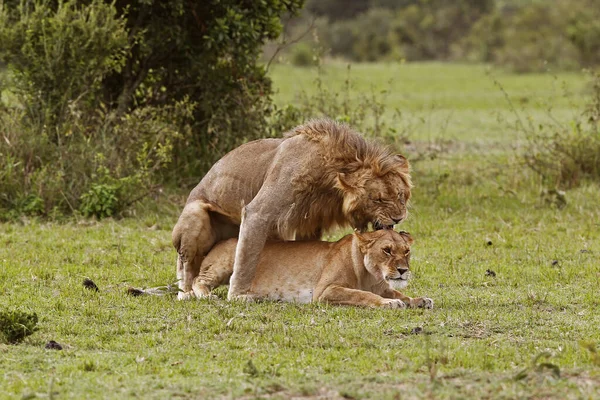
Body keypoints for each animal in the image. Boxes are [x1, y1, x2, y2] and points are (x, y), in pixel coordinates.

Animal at [171, 119, 410, 300]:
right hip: (196, 214)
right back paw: (187, 293)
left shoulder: (311, 221)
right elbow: (246, 259)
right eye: (378, 199)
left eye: (401, 195)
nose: (398, 218)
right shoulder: (258, 212)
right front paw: (238, 295)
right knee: (186, 266)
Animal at [192, 230, 432, 308]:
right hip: (227, 261)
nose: (402, 270)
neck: (371, 275)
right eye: (387, 250)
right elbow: (361, 295)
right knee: (198, 280)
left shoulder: (384, 286)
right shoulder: (325, 290)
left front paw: (419, 300)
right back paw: (211, 296)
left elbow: (400, 292)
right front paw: (389, 303)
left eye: (406, 251)